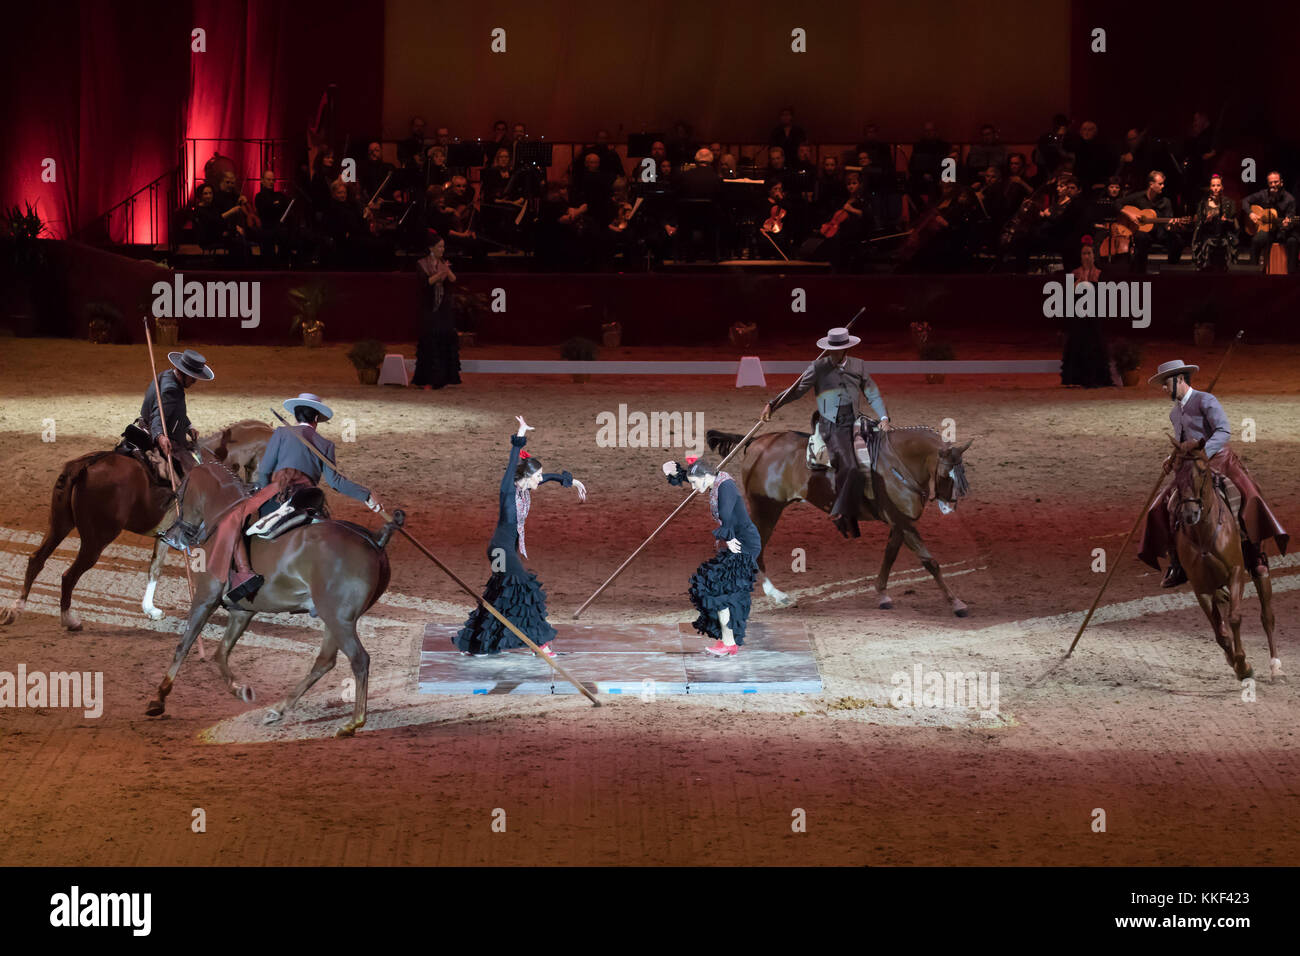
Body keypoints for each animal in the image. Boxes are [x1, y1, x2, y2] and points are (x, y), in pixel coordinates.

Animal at [0, 421, 269, 632]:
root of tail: (86, 465)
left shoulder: (164, 536)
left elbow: (155, 569)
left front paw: (150, 609)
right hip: (96, 540)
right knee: (68, 576)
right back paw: (69, 620)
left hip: (59, 525)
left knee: (36, 560)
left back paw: (16, 609)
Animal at [146, 460, 395, 738]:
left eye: (179, 496)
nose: (170, 536)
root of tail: (374, 541)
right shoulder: (241, 611)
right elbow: (221, 652)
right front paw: (239, 690)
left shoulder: (205, 598)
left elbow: (184, 645)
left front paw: (159, 697)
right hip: (334, 618)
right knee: (324, 662)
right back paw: (279, 709)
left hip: (338, 619)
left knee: (359, 660)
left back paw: (353, 722)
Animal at [707, 421, 972, 616]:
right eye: (946, 474)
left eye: (962, 471)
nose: (951, 504)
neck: (898, 462)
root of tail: (758, 441)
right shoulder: (903, 522)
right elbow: (930, 562)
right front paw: (956, 603)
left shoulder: (899, 523)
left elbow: (890, 555)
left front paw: (882, 594)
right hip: (766, 509)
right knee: (753, 550)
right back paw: (777, 595)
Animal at [1170, 437, 1279, 686]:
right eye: (1176, 469)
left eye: (1202, 471)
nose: (1189, 514)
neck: (1203, 534)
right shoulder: (1200, 587)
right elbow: (1220, 634)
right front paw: (1236, 663)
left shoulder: (1236, 572)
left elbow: (1235, 618)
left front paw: (1243, 665)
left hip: (1257, 565)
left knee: (1266, 615)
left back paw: (1276, 667)